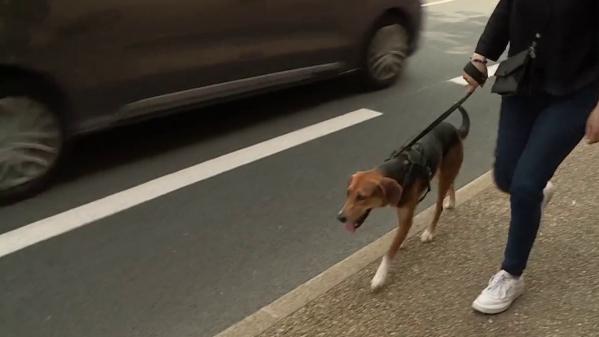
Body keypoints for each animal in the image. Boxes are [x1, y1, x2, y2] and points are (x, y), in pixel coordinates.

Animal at [338, 108, 468, 288]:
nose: (340, 217)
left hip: (445, 173)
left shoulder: (407, 216)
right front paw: (402, 241)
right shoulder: (401, 212)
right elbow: (398, 236)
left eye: (361, 197)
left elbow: (390, 251)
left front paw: (380, 276)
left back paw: (430, 231)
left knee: (438, 206)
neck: (398, 169)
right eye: (348, 193)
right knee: (452, 184)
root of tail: (453, 129)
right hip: (442, 171)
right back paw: (452, 201)